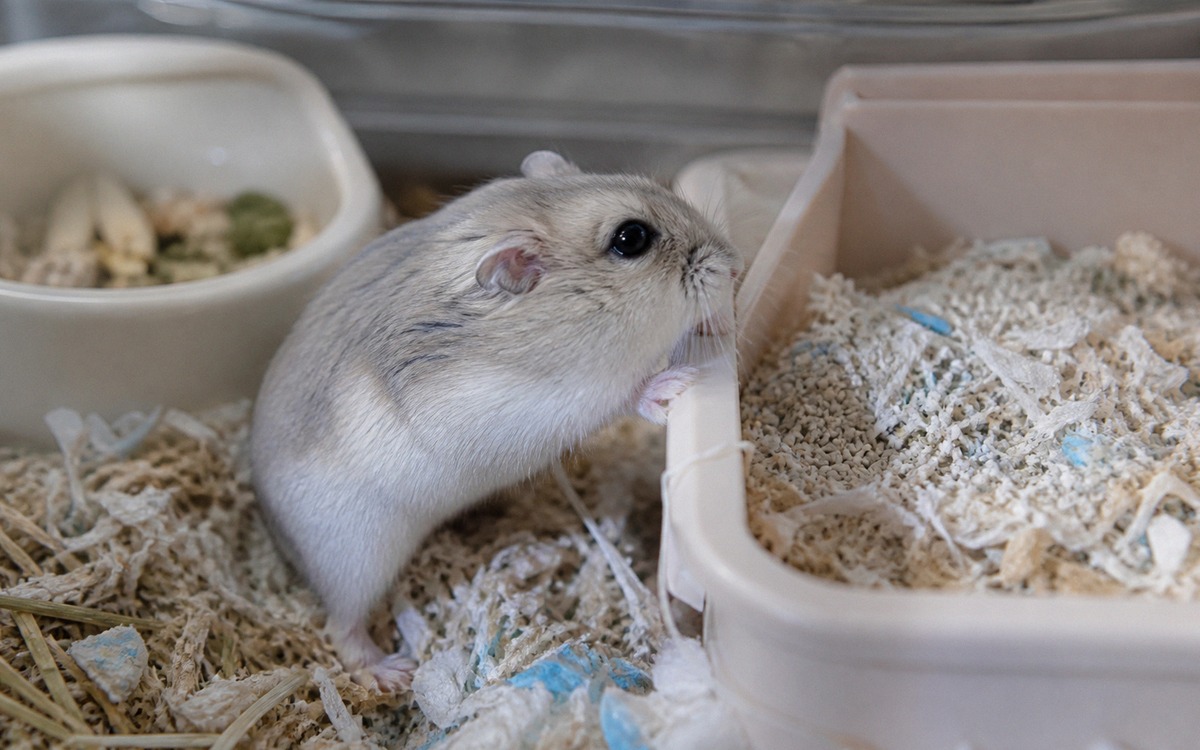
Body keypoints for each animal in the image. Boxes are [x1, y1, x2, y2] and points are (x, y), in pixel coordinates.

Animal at [249, 151, 742, 690]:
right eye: (631, 238)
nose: (736, 264)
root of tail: (273, 529)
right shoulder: (549, 403)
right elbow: (621, 394)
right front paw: (673, 385)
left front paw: (718, 322)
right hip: (356, 558)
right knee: (340, 626)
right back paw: (391, 673)